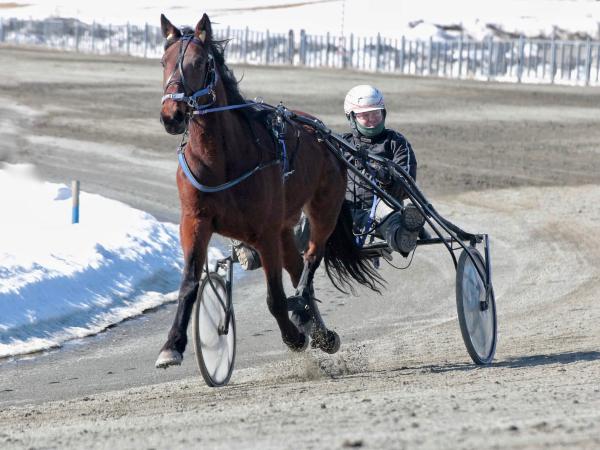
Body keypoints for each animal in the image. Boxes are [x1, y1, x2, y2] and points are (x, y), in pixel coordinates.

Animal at [155, 13, 381, 369]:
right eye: (163, 61)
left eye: (200, 62)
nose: (172, 115)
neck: (221, 160)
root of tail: (326, 136)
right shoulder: (194, 221)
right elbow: (189, 283)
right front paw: (171, 346)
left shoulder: (265, 232)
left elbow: (275, 297)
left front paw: (294, 337)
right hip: (285, 229)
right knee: (298, 268)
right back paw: (317, 327)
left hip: (323, 209)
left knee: (310, 262)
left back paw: (310, 321)